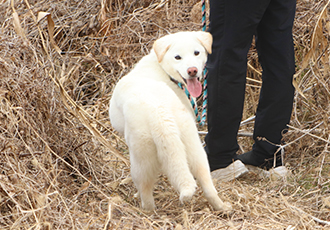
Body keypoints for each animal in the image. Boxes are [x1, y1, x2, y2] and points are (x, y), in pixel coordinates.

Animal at [109, 31, 231, 212]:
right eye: (177, 57)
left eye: (196, 52)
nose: (192, 71)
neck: (163, 70)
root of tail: (159, 110)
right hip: (193, 144)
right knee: (205, 181)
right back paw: (222, 207)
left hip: (140, 158)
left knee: (145, 189)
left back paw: (148, 211)